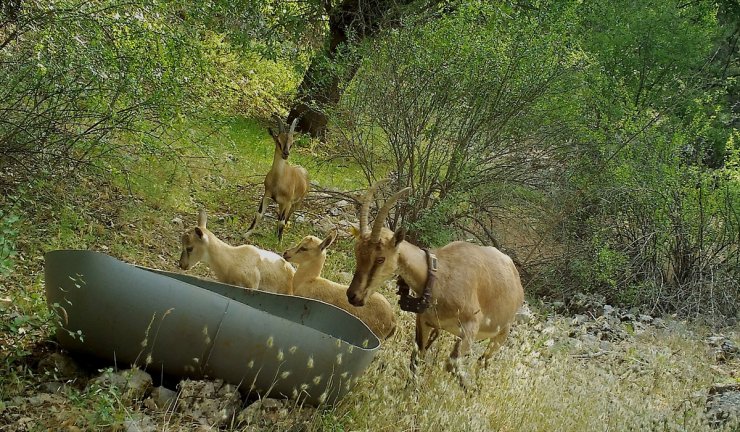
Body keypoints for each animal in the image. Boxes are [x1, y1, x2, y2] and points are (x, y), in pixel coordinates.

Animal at [346, 181, 528, 384]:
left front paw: (468, 388)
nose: (353, 295)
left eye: (380, 258)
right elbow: (416, 359)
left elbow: (451, 363)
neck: (439, 277)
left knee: (483, 362)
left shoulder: (471, 327)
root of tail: (515, 275)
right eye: (357, 250)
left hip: (502, 332)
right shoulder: (424, 323)